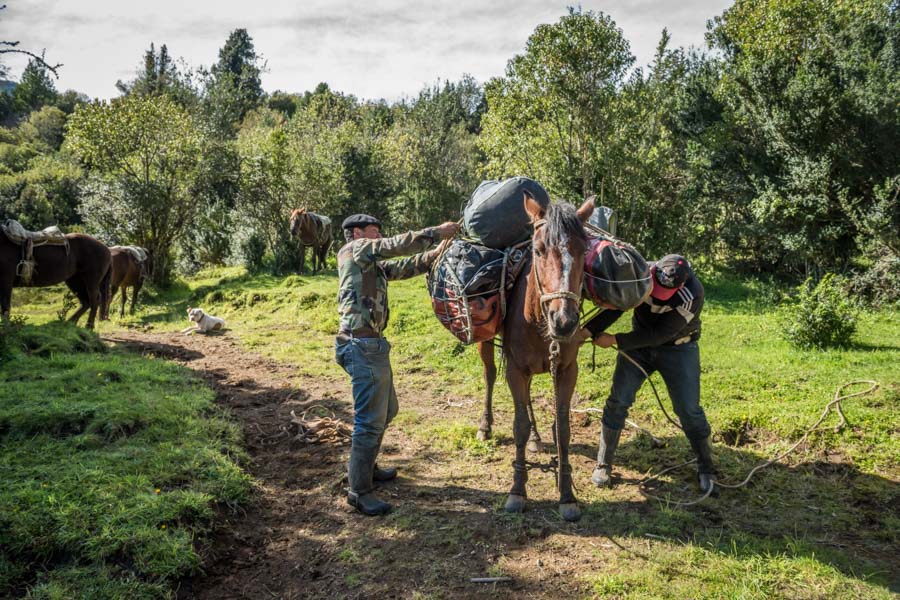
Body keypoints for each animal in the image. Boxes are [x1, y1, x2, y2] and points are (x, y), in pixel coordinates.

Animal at [502, 192, 596, 520]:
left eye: (584, 250)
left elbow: (563, 428)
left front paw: (566, 494)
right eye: (539, 250)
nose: (564, 321)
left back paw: (536, 439)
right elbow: (518, 426)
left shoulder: (567, 369)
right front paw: (517, 490)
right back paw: (484, 427)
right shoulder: (514, 369)